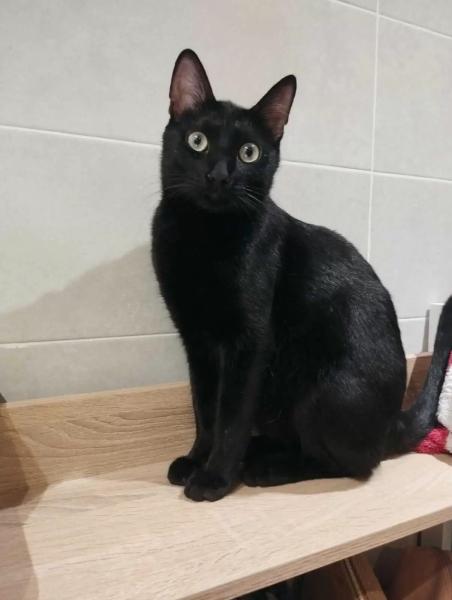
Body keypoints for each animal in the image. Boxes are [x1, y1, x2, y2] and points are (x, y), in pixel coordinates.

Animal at [152, 49, 452, 502]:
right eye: (197, 141)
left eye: (249, 153)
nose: (219, 175)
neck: (202, 234)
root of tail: (390, 423)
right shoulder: (197, 341)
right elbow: (204, 409)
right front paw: (195, 459)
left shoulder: (249, 343)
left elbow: (230, 417)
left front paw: (214, 477)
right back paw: (260, 451)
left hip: (323, 389)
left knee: (352, 464)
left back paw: (265, 468)